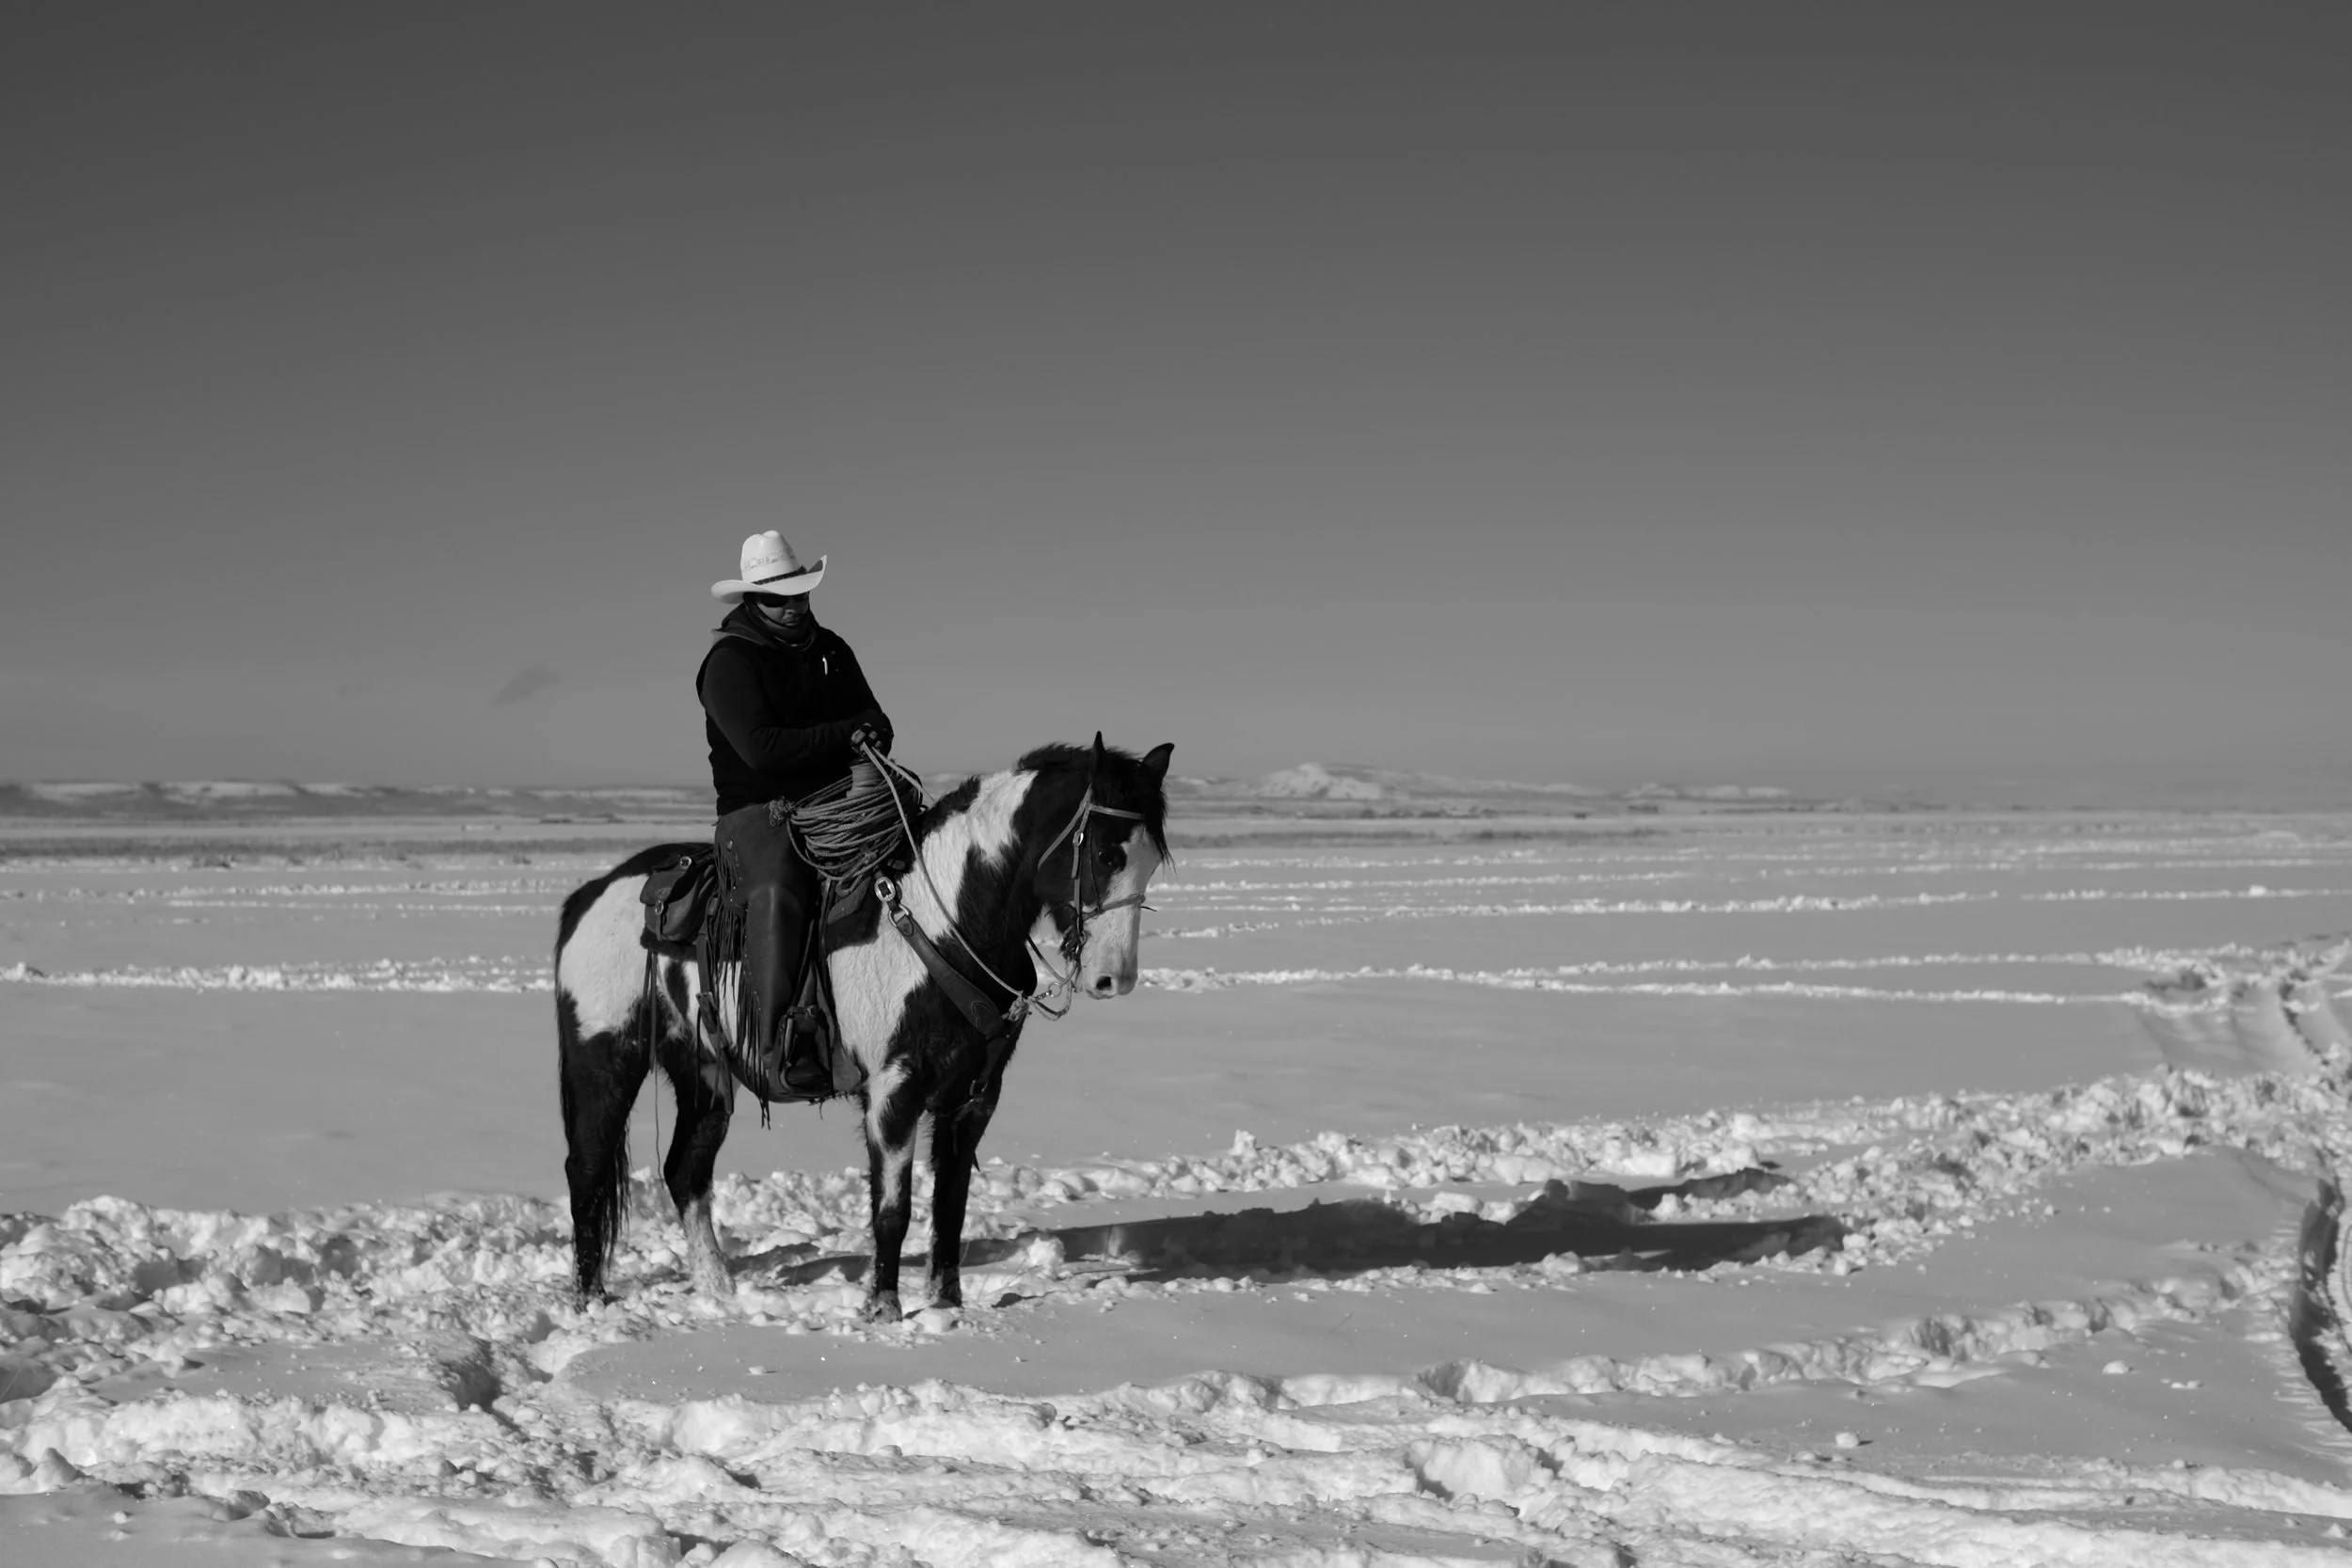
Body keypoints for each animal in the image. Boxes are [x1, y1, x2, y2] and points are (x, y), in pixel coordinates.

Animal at [552, 736, 1173, 1320]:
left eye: (1150, 862)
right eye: (1104, 853)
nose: (1114, 978)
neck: (942, 926)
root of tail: (593, 894)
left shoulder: (974, 1097)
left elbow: (950, 1205)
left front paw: (946, 1305)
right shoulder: (894, 1091)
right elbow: (893, 1208)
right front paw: (884, 1309)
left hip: (703, 1072)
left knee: (686, 1170)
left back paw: (719, 1292)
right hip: (605, 1056)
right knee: (587, 1168)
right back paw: (590, 1300)